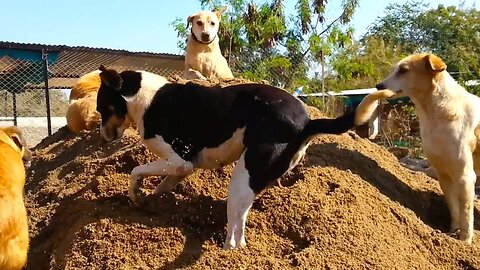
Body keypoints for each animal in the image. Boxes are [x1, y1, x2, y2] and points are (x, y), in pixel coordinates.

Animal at [95, 65, 392, 249]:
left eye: (101, 108)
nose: (102, 138)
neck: (144, 96)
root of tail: (307, 123)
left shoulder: (180, 161)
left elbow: (136, 172)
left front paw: (136, 194)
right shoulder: (184, 168)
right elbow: (162, 184)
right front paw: (150, 199)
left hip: (240, 180)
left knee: (234, 235)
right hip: (250, 184)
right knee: (241, 226)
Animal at [376, 53, 480, 244]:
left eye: (403, 70)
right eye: (394, 69)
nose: (378, 86)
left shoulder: (465, 176)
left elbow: (466, 212)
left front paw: (465, 242)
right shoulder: (443, 174)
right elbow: (454, 209)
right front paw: (452, 232)